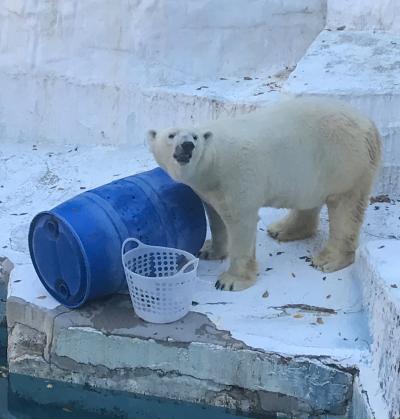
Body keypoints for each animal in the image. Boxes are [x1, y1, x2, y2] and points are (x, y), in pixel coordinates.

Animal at [147, 98, 382, 292]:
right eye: (171, 135)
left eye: (195, 137)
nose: (187, 146)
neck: (213, 163)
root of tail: (370, 126)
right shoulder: (210, 188)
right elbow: (215, 217)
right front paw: (208, 250)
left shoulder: (237, 177)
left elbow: (241, 222)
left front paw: (230, 280)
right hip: (312, 171)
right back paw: (282, 230)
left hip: (343, 159)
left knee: (345, 208)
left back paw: (326, 259)